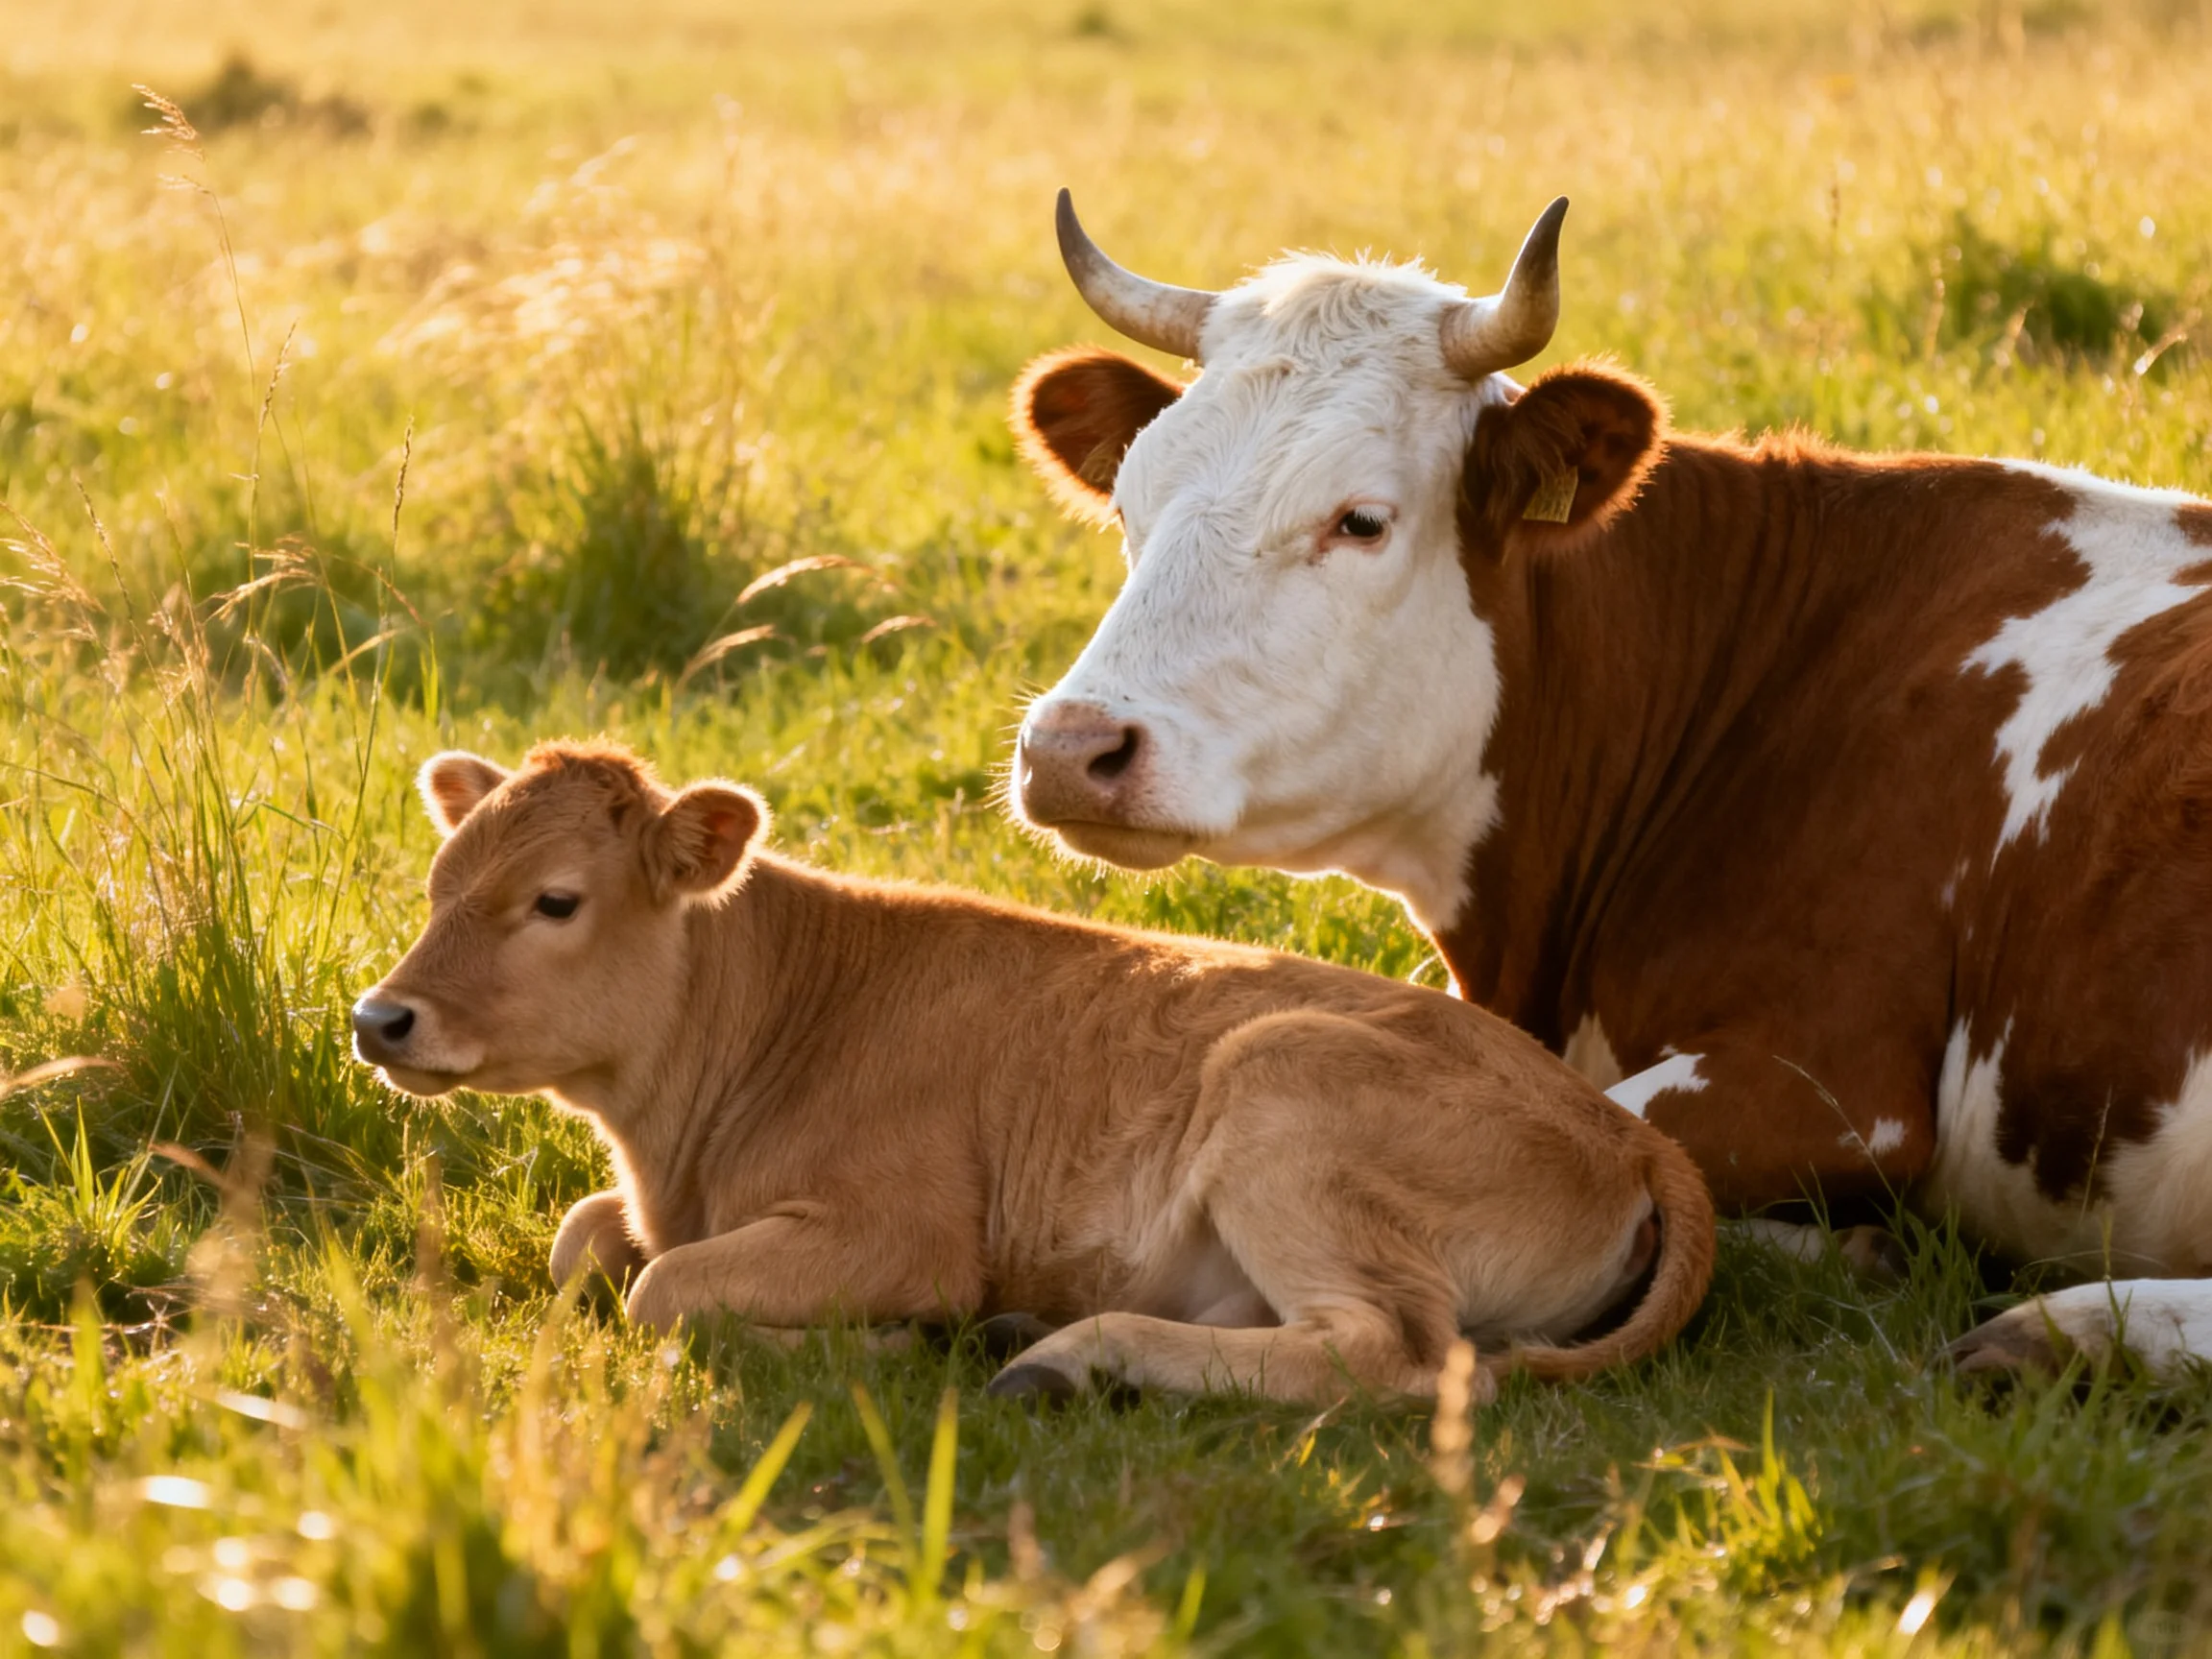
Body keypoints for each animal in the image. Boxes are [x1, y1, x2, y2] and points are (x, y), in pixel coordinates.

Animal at [349, 741, 1714, 1405]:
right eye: (440, 881)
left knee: (1395, 1354)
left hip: (1282, 1094)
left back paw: (1065, 1358)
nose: (380, 1018)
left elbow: (660, 1290)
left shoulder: (899, 1230)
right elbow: (584, 1242)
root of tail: (1627, 1131)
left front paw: (883, 1348)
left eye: (555, 900)